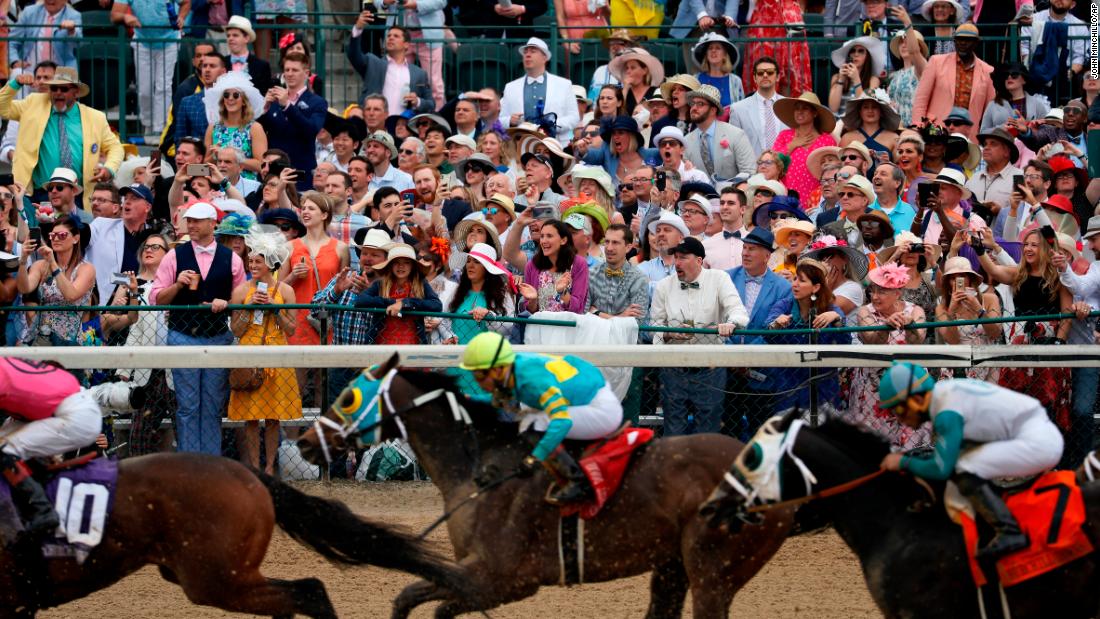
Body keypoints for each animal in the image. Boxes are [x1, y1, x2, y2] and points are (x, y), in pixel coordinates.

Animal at [297, 358, 796, 619]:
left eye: (348, 397)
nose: (303, 441)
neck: (476, 467)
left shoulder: (503, 579)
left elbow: (414, 597)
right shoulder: (477, 579)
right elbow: (422, 602)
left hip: (714, 572)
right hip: (672, 565)